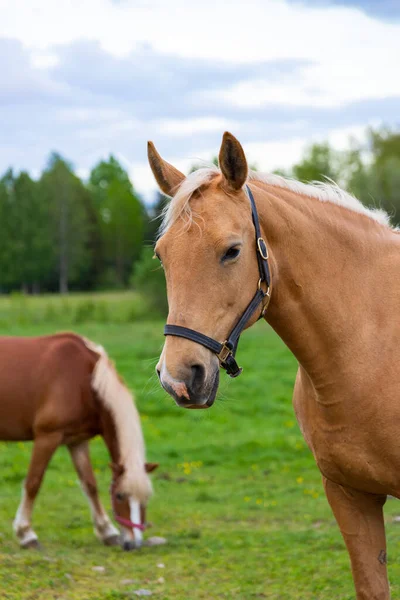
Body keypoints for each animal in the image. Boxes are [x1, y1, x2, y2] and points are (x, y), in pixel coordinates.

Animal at [0, 330, 156, 552]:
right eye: (120, 496)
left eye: (146, 498)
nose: (134, 544)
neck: (84, 380)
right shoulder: (47, 437)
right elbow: (33, 483)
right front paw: (26, 533)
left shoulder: (77, 442)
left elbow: (90, 484)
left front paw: (107, 531)